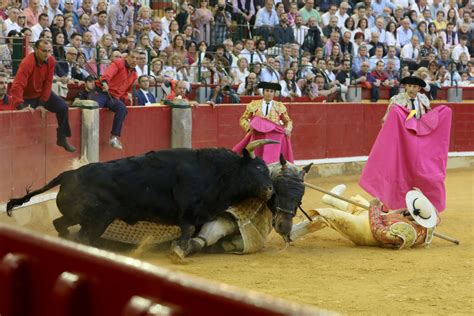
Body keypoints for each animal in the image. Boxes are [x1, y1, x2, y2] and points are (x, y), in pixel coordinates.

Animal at [6, 144, 274, 246]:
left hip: (77, 215)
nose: (270, 189)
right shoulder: (188, 210)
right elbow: (187, 229)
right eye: (257, 168)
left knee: (59, 223)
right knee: (84, 236)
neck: (217, 171)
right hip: (99, 218)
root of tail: (67, 175)